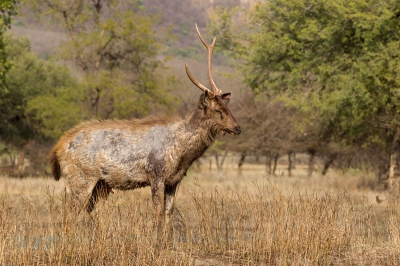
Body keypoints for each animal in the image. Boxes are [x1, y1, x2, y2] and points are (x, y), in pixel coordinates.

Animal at [48, 24, 239, 227]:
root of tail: (57, 149)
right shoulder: (156, 175)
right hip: (80, 178)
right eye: (217, 110)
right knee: (69, 214)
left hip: (100, 185)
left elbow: (169, 215)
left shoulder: (174, 181)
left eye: (227, 106)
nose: (237, 127)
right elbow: (158, 214)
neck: (182, 153)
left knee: (86, 211)